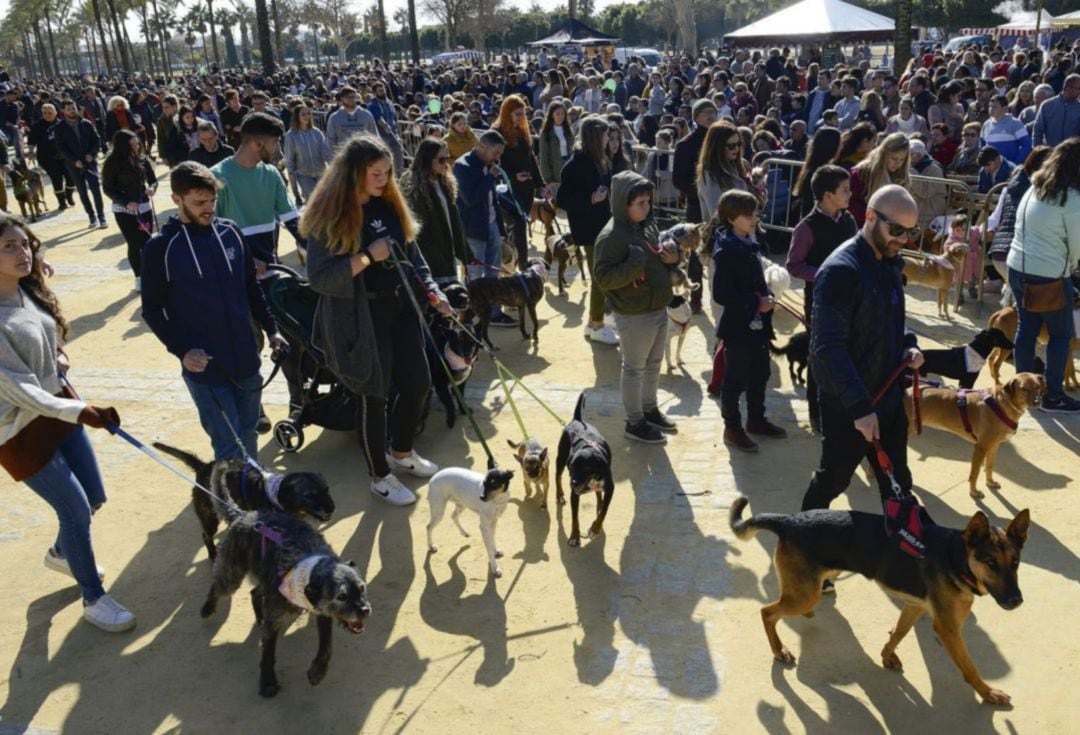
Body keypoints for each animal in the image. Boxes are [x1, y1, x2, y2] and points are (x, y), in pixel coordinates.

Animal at [149, 442, 332, 561]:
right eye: (309, 495)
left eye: (326, 490)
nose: (332, 508)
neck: (277, 495)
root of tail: (203, 467)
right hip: (209, 518)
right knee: (205, 535)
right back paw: (213, 554)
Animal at [199, 507, 371, 695]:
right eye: (341, 596)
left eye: (362, 588)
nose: (365, 611)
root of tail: (242, 514)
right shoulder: (274, 619)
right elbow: (268, 654)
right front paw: (267, 682)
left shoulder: (322, 611)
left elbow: (326, 645)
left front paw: (317, 671)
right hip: (233, 574)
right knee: (218, 584)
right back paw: (208, 607)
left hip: (264, 580)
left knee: (254, 592)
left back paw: (259, 616)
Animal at [557, 392, 617, 548]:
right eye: (572, 466)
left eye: (587, 467)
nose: (573, 483)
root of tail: (577, 420)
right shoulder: (574, 495)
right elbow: (575, 518)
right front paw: (574, 536)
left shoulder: (610, 488)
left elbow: (604, 512)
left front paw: (595, 529)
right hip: (560, 459)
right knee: (557, 477)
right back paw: (559, 495)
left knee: (598, 495)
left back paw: (599, 505)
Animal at [725, 496, 1028, 703]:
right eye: (990, 562)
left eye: (1015, 563)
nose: (1016, 601)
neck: (956, 556)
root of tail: (789, 520)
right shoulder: (948, 628)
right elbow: (970, 668)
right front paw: (989, 693)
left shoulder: (914, 606)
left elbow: (898, 632)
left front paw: (887, 655)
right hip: (804, 594)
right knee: (767, 612)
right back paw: (779, 650)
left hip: (812, 586)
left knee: (783, 606)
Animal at [902, 373, 1045, 498]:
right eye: (1023, 389)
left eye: (1038, 387)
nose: (1037, 401)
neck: (1002, 404)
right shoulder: (981, 447)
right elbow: (975, 473)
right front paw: (974, 492)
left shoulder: (994, 446)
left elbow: (989, 466)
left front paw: (990, 482)